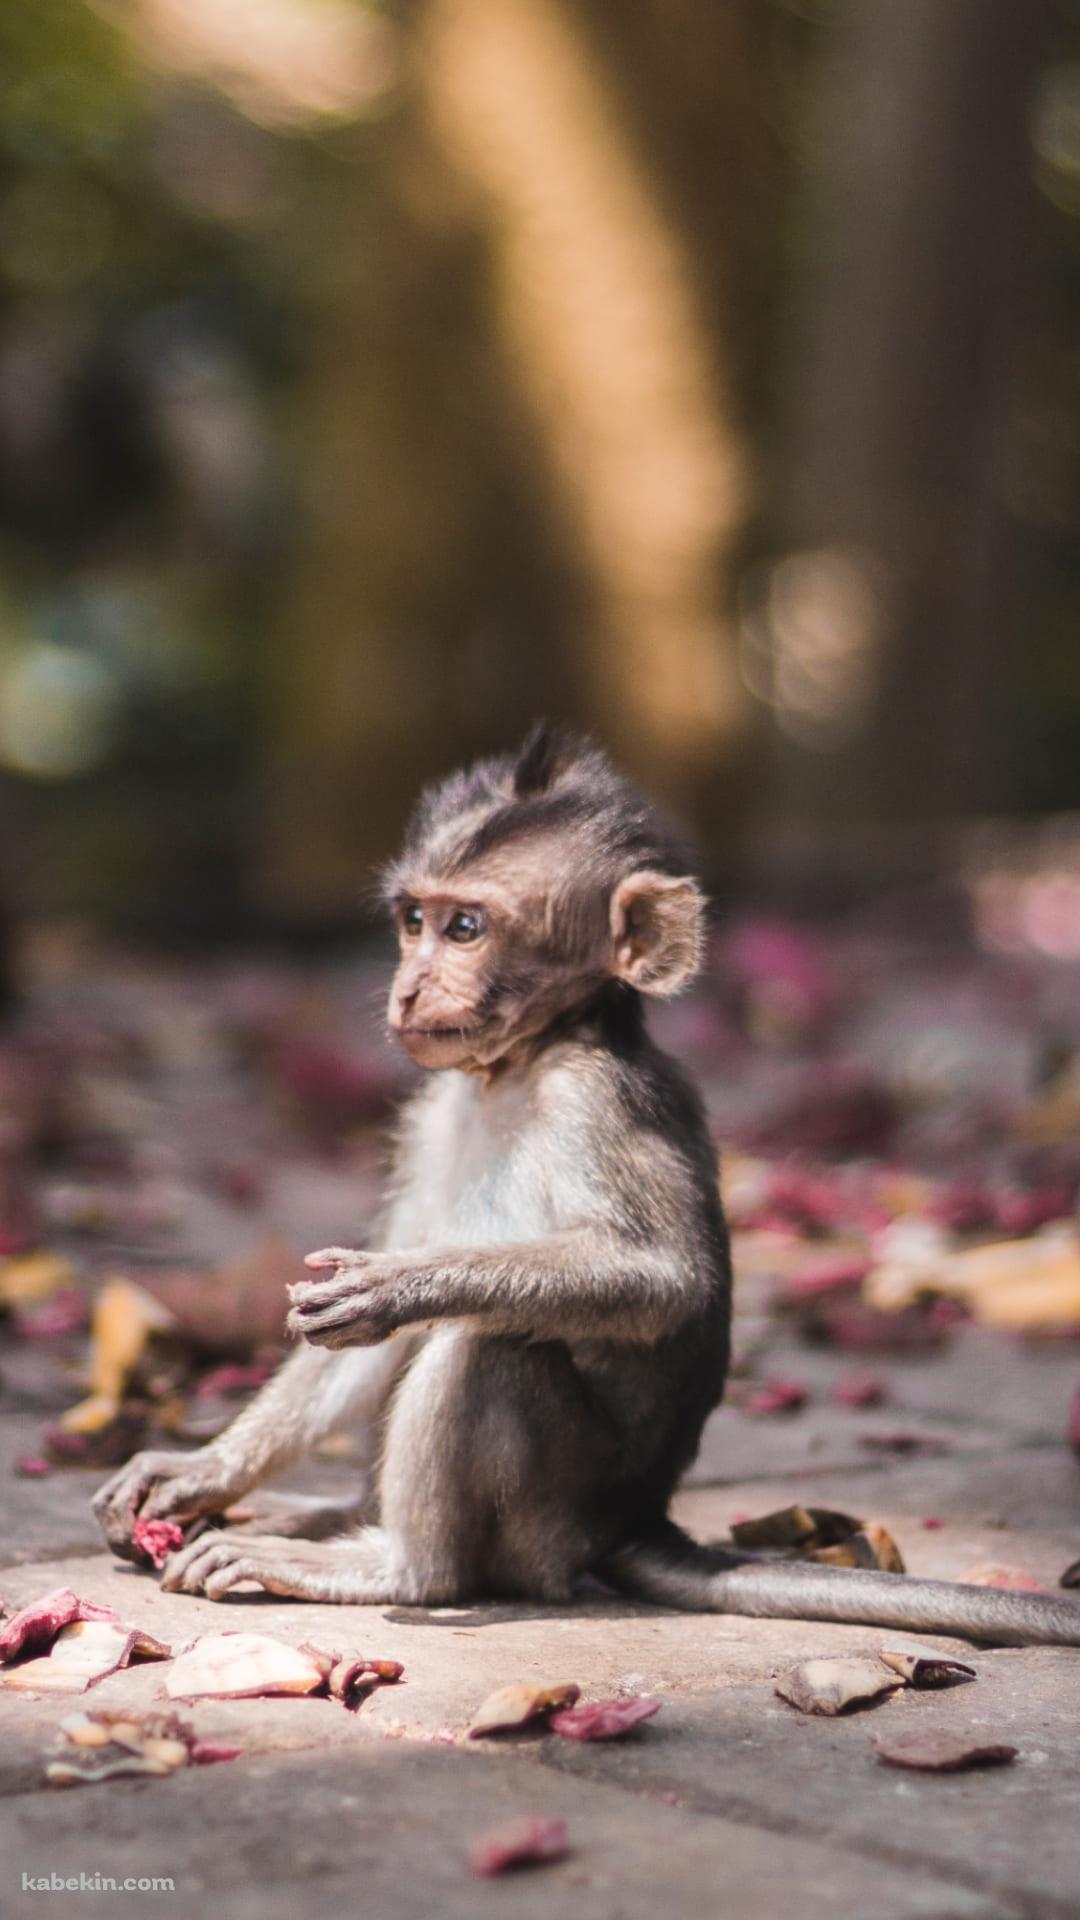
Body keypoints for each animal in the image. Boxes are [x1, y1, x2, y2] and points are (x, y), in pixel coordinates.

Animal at [93, 726, 1080, 1646]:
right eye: (412, 919)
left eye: (465, 929)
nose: (409, 989)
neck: (524, 1062)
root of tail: (633, 1519)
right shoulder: (432, 1110)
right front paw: (201, 1468)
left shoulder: (597, 1100)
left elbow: (663, 1280)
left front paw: (402, 1287)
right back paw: (326, 1516)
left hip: (548, 1522)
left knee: (487, 1345)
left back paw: (396, 1566)